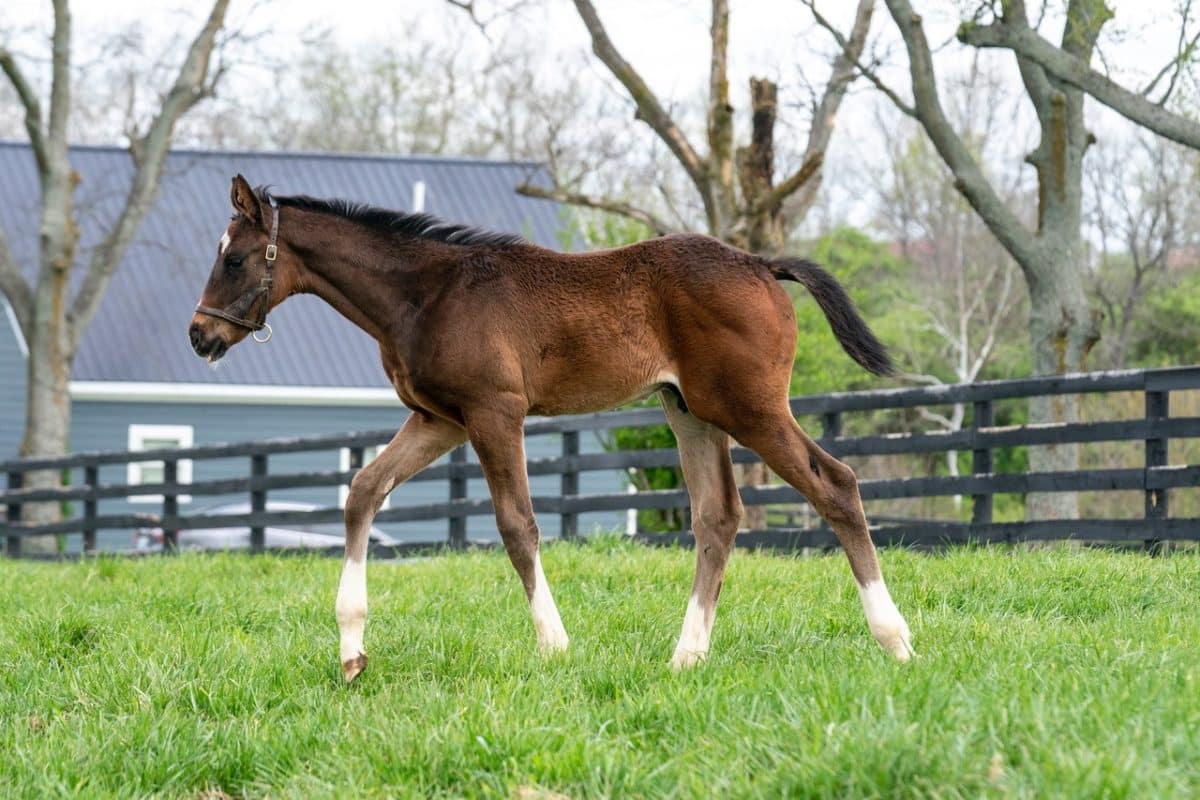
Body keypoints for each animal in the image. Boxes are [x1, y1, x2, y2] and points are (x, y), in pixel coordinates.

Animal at [192, 176, 912, 681]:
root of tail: (762, 263)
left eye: (236, 259)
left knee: (836, 484)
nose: (200, 336)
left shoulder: (494, 412)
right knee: (718, 517)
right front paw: (352, 651)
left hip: (749, 408)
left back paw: (896, 640)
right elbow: (364, 491)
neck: (426, 293)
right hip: (689, 411)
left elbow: (517, 526)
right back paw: (687, 656)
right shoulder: (439, 420)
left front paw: (554, 645)